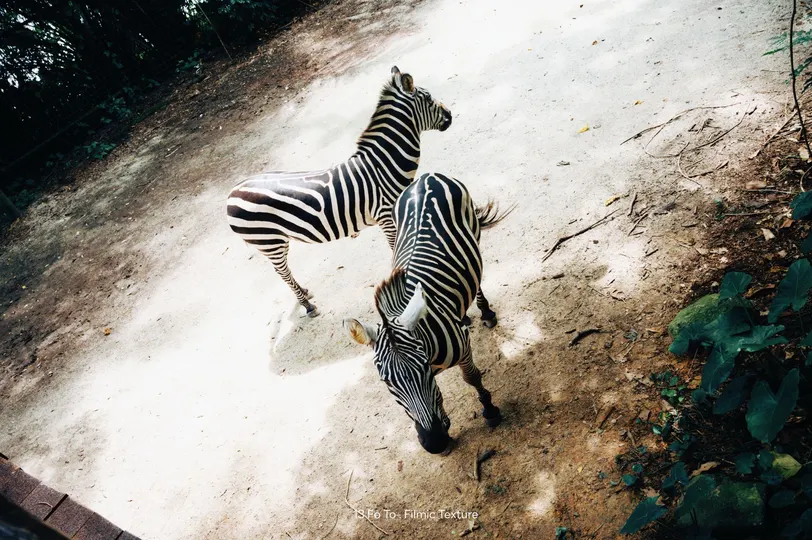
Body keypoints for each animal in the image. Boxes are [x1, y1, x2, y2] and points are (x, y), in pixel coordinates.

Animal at [226, 66, 452, 317]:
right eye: (429, 99)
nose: (450, 115)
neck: (383, 164)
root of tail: (233, 192)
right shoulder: (386, 216)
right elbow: (396, 251)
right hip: (269, 241)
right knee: (281, 272)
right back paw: (308, 306)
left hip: (276, 241)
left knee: (283, 270)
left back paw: (304, 293)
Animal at [344, 172, 511, 454]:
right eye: (386, 382)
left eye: (422, 367)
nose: (434, 443)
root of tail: (426, 177)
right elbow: (437, 397)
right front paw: (445, 427)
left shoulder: (462, 350)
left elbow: (471, 377)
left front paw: (489, 410)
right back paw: (465, 315)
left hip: (474, 235)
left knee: (477, 281)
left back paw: (485, 312)